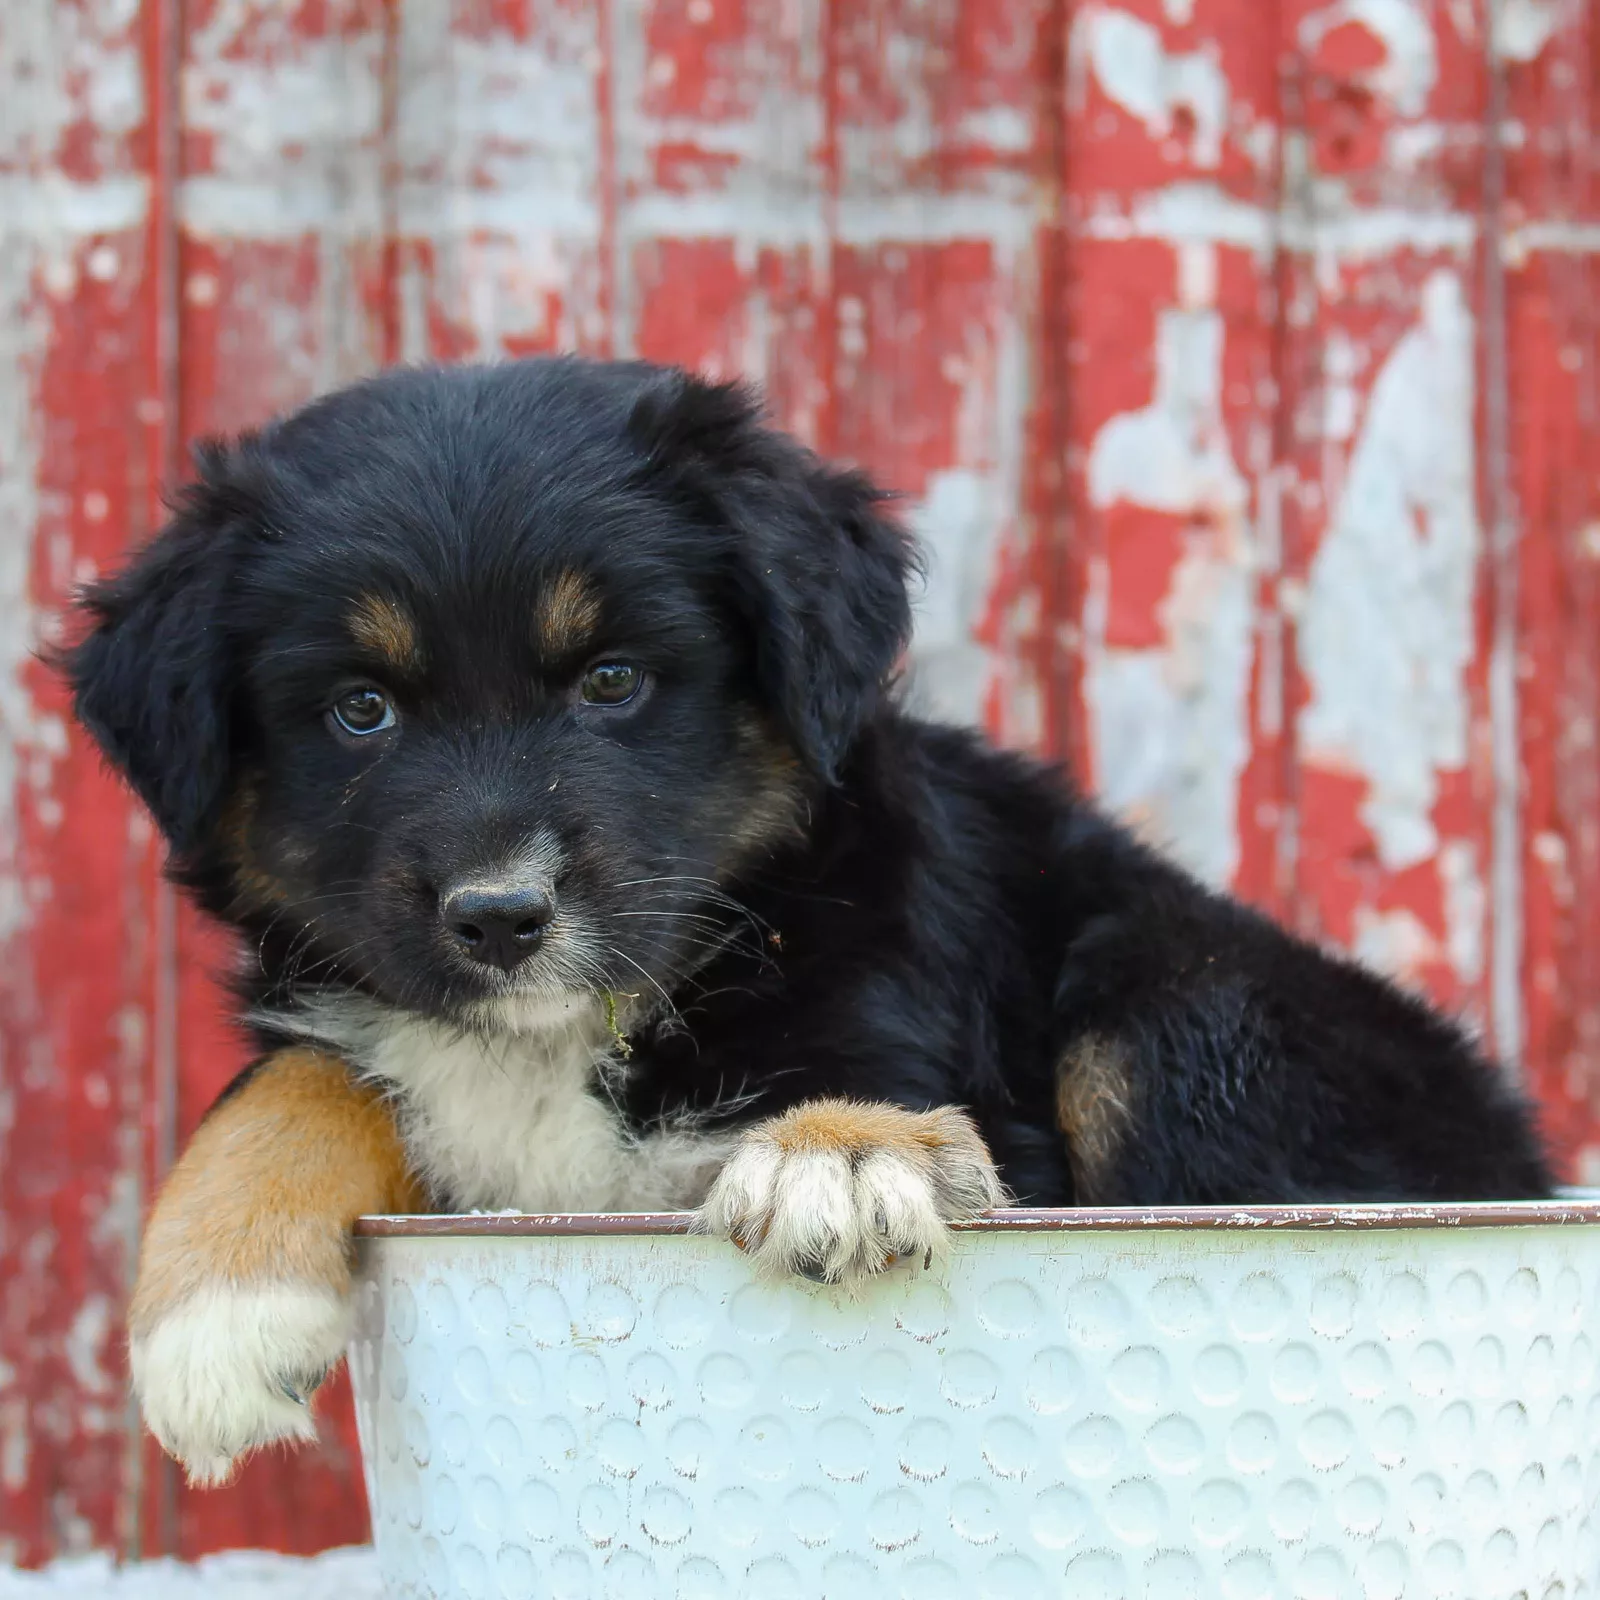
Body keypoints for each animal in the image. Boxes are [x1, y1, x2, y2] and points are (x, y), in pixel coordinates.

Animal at [65, 356, 1551, 1486]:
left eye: (614, 679)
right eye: (359, 710)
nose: (499, 915)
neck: (570, 1037)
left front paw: (836, 1151)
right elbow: (301, 1076)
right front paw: (217, 1312)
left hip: (1186, 1006)